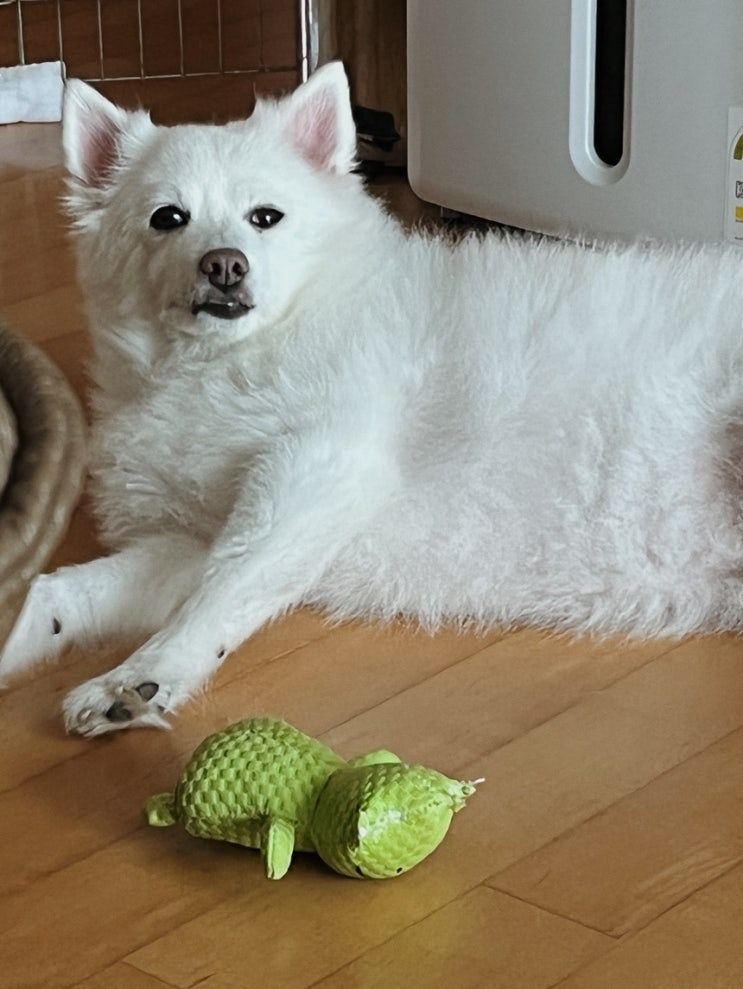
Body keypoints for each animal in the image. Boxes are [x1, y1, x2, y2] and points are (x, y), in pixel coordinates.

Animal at [1, 63, 742, 735]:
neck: (229, 359)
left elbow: (220, 592)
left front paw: (137, 678)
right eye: (167, 218)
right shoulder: (188, 537)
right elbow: (65, 589)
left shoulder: (319, 475)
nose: (224, 265)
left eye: (265, 217)